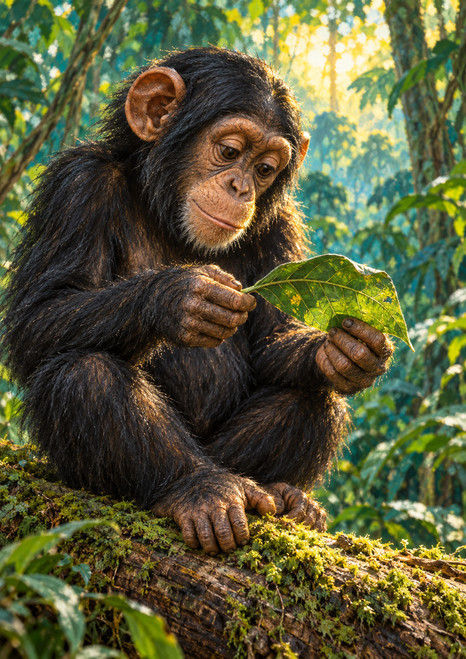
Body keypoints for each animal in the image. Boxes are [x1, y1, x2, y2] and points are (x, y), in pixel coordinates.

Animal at [2, 48, 393, 556]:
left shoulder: (280, 224)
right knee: (85, 373)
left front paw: (344, 350)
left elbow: (271, 341)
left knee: (314, 399)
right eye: (229, 152)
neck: (164, 212)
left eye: (265, 169)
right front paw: (180, 297)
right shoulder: (77, 185)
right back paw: (200, 489)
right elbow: (39, 315)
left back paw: (281, 494)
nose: (240, 188)